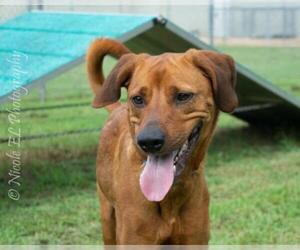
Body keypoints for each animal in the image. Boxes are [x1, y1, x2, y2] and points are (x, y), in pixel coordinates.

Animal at [85, 38, 238, 244]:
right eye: (138, 99)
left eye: (183, 96)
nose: (148, 141)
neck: (169, 195)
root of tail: (118, 108)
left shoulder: (194, 239)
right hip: (108, 222)